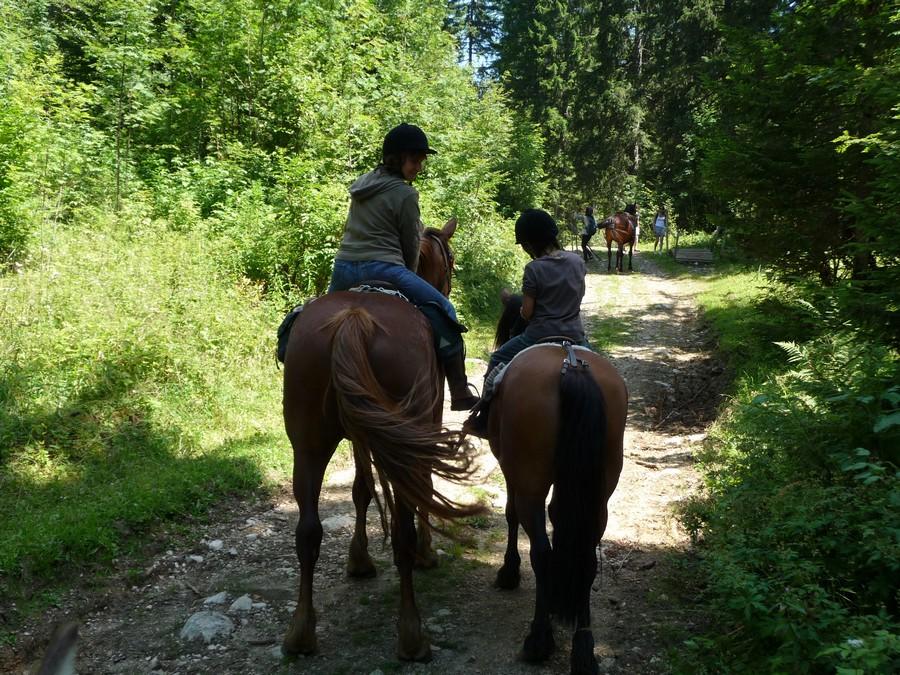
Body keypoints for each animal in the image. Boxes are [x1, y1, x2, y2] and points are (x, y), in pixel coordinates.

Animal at [280, 220, 486, 660]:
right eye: (450, 259)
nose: (448, 286)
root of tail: (353, 319)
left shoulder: (363, 434)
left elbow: (360, 489)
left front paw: (358, 559)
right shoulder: (422, 425)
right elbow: (421, 488)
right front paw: (427, 552)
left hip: (307, 446)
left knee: (308, 532)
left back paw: (300, 633)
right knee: (402, 530)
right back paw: (412, 634)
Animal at [478, 298, 624, 672]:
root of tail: (571, 367)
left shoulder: (512, 470)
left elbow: (511, 515)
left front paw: (509, 572)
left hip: (530, 481)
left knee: (541, 551)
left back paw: (538, 640)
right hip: (599, 492)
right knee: (586, 554)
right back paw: (583, 650)